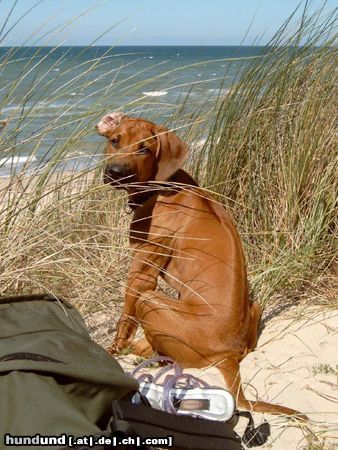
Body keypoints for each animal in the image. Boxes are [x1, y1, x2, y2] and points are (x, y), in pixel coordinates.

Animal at [95, 113, 306, 418]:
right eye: (114, 141)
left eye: (144, 149)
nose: (116, 171)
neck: (163, 185)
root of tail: (229, 354)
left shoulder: (142, 275)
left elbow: (125, 319)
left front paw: (112, 349)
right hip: (254, 305)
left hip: (150, 301)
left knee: (164, 353)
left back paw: (139, 352)